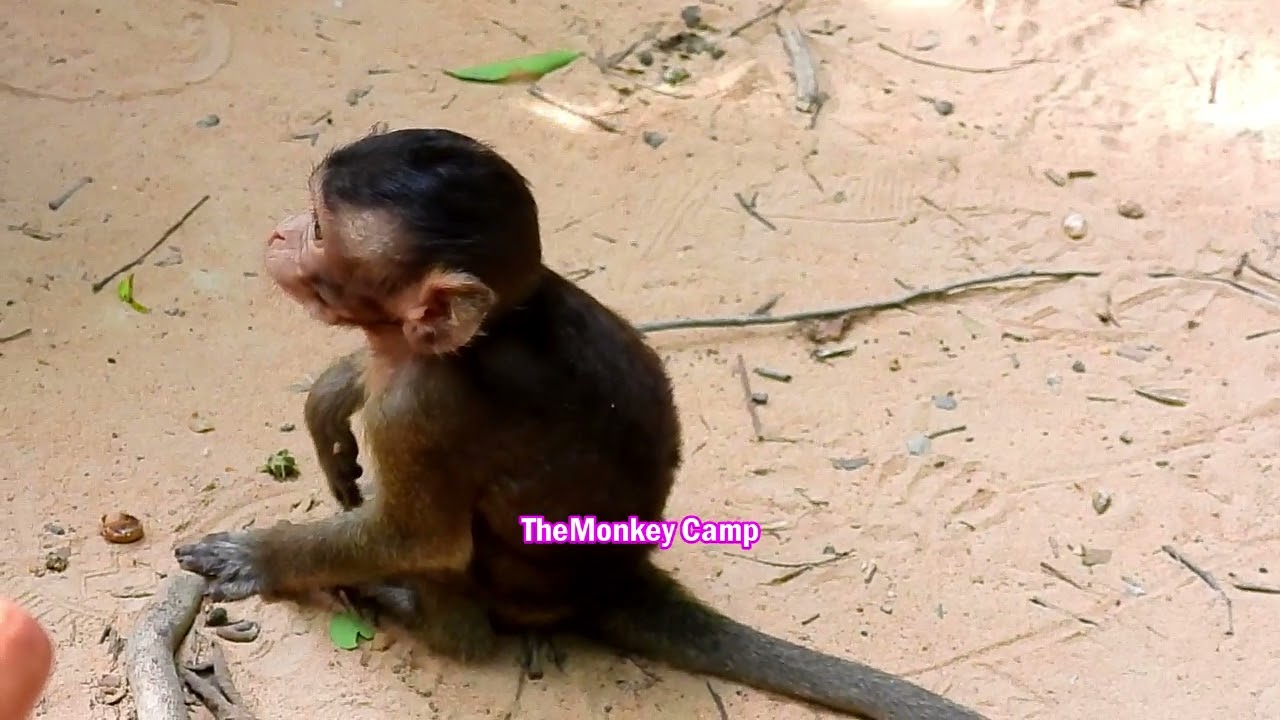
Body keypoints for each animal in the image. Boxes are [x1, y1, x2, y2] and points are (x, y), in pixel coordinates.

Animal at [174, 127, 989, 720]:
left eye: (317, 227)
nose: (279, 233)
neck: (485, 331)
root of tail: (617, 576)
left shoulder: (420, 411)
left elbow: (422, 539)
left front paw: (262, 557)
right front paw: (331, 402)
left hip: (509, 589)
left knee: (458, 594)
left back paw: (399, 602)